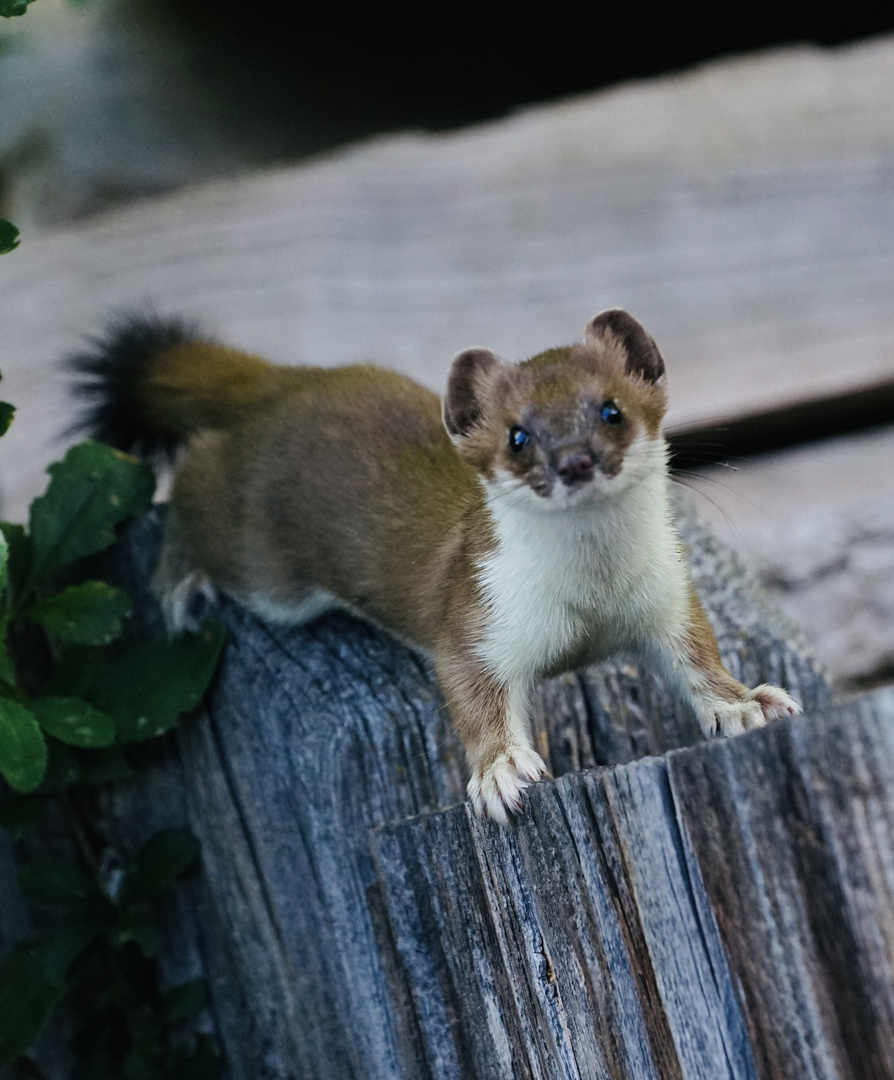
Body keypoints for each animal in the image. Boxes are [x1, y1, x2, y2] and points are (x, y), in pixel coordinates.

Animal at [68, 308, 794, 820]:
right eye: (517, 435)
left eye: (611, 409)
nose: (573, 461)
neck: (591, 592)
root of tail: (287, 382)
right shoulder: (476, 612)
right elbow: (471, 692)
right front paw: (502, 772)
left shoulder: (667, 595)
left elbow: (698, 657)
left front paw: (749, 704)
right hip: (265, 569)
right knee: (192, 476)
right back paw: (181, 586)